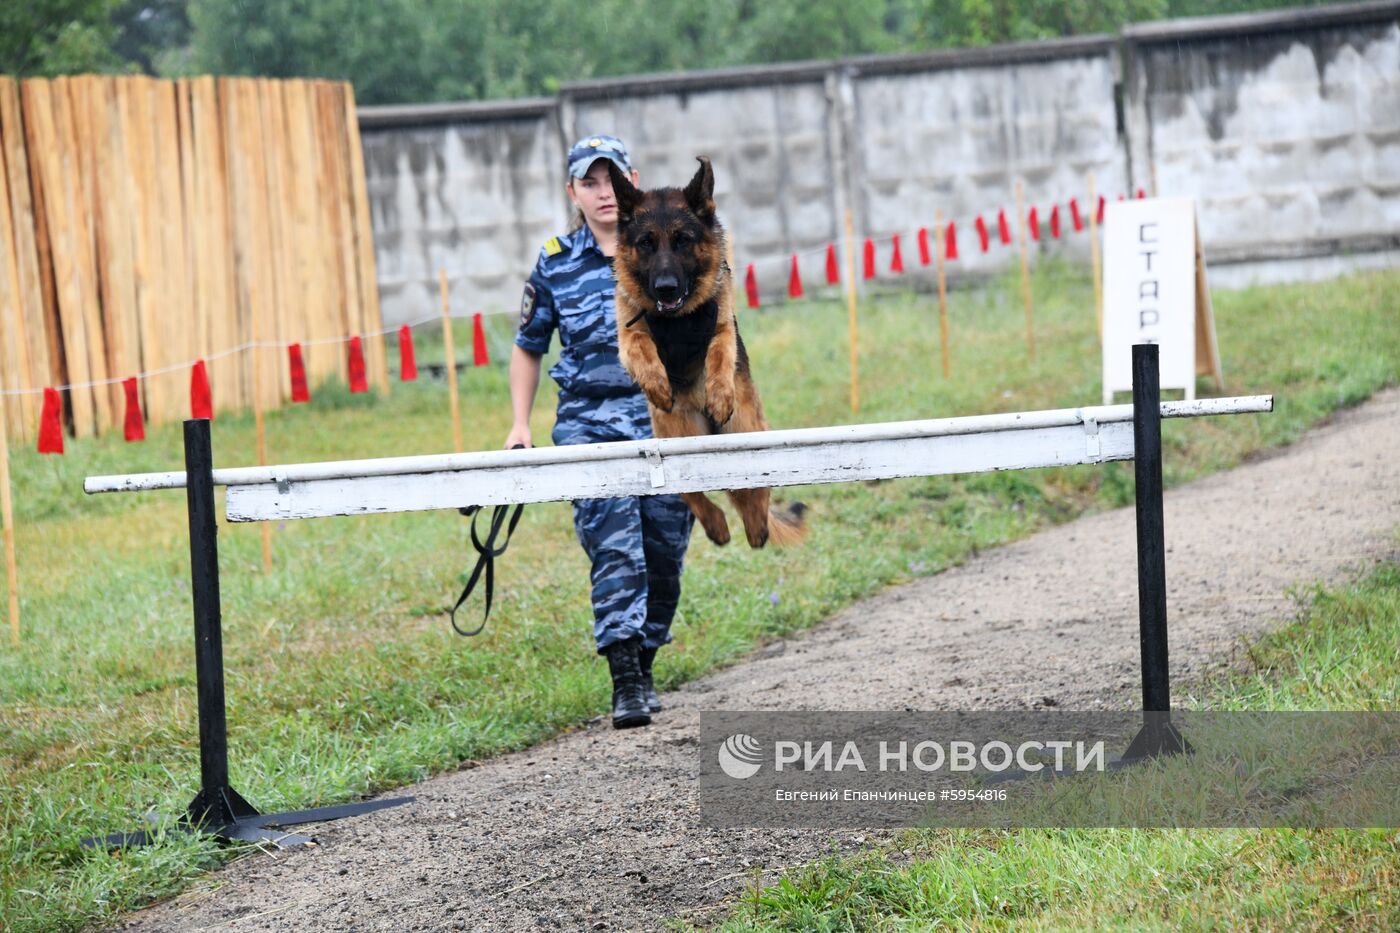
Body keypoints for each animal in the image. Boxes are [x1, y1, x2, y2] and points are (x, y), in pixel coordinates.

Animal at [607, 153, 806, 546]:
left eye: (683, 240)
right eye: (646, 243)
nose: (666, 288)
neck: (677, 318)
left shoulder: (722, 327)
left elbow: (718, 355)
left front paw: (719, 396)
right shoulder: (629, 333)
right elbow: (642, 349)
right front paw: (658, 387)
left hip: (745, 432)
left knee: (756, 492)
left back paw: (757, 528)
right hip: (674, 439)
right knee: (691, 493)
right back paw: (717, 526)